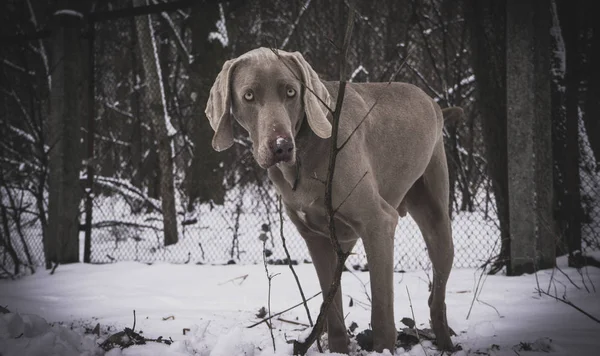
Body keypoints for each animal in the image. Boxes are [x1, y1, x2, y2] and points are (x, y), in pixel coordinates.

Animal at [206, 47, 460, 354]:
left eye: (291, 92)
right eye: (249, 96)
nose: (281, 147)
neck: (303, 158)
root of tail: (433, 103)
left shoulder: (378, 223)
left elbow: (382, 313)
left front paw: (383, 346)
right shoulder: (316, 239)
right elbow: (333, 308)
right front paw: (338, 346)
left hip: (437, 217)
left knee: (437, 295)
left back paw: (446, 341)